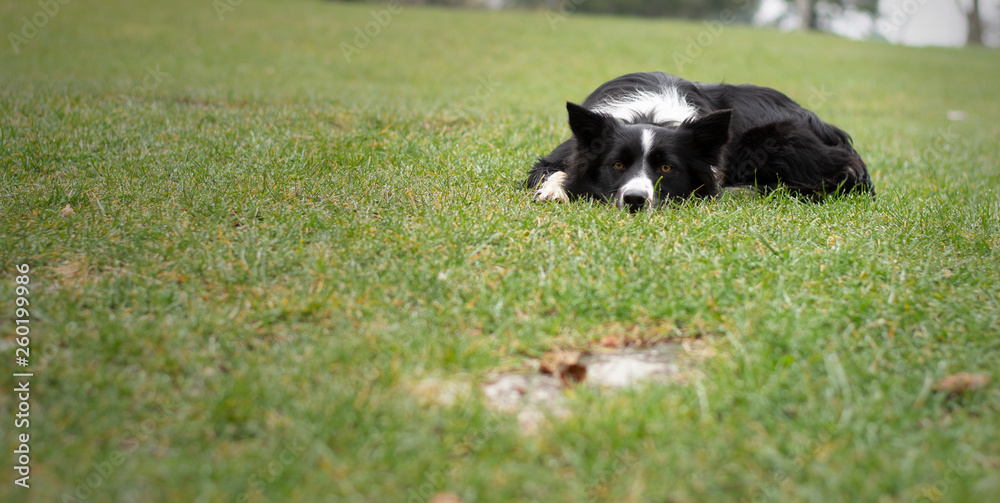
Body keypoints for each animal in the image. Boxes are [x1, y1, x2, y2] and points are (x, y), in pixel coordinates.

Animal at [528, 72, 872, 211]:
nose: (636, 201)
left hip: (773, 137)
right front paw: (554, 189)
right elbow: (551, 170)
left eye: (666, 168)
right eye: (617, 165)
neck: (650, 115)